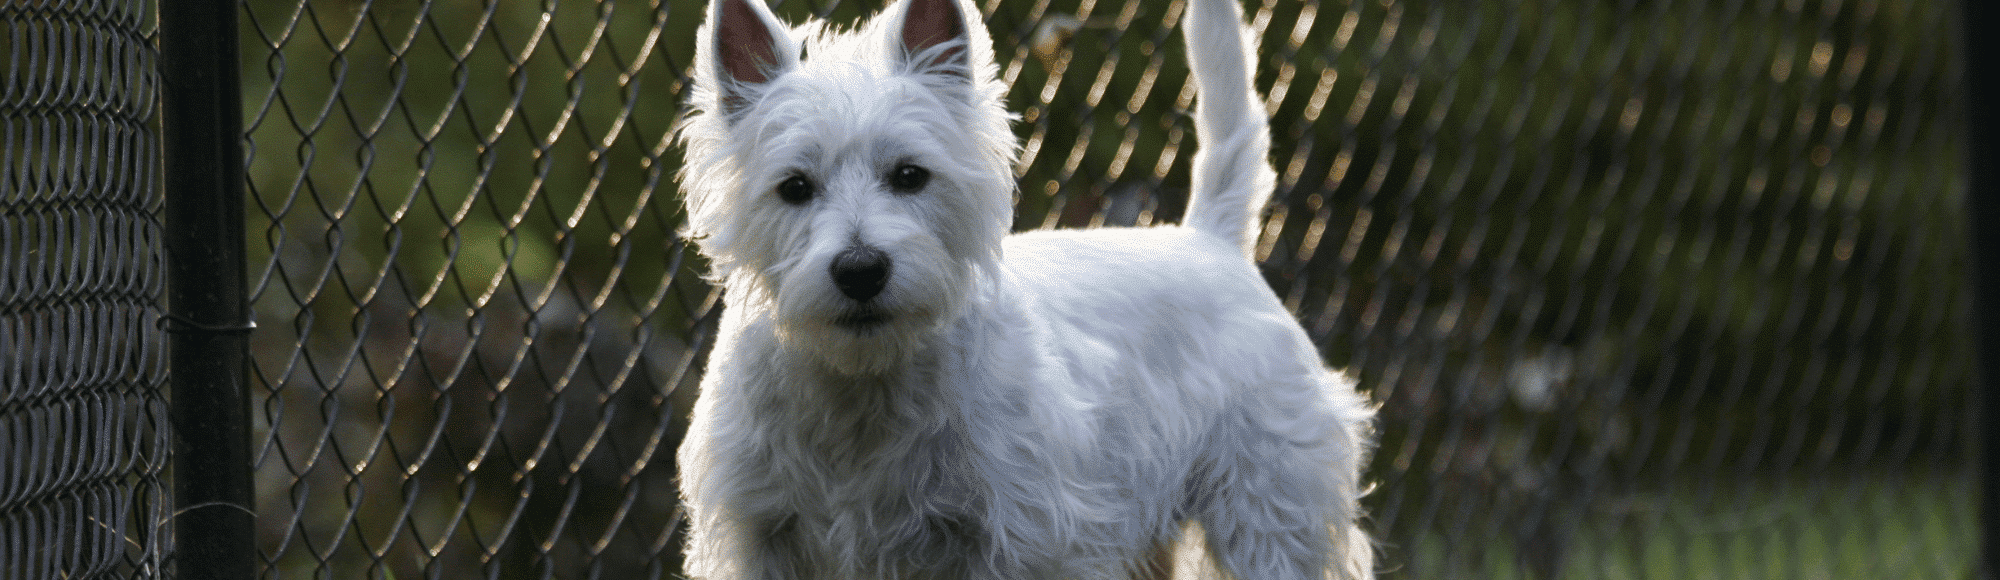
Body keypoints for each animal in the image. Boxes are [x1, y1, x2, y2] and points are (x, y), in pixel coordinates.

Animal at [676, 0, 1376, 576]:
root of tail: (1211, 239)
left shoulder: (1027, 534)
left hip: (1269, 508)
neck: (861, 387)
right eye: (794, 187)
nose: (861, 270)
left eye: (910, 175)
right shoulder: (758, 534)